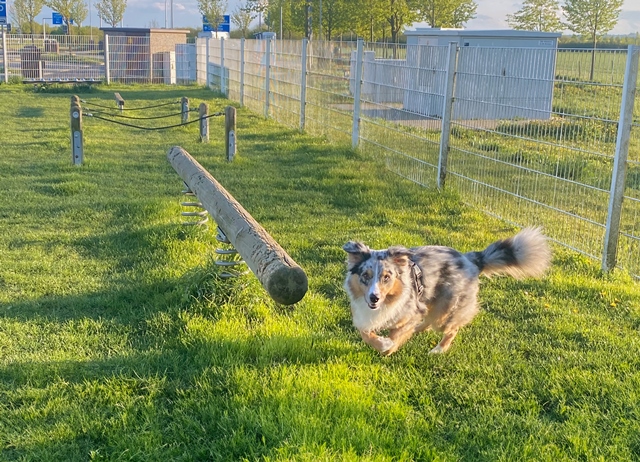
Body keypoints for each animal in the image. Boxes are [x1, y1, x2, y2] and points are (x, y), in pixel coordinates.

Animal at [344, 229, 552, 356]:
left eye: (387, 277)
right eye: (365, 275)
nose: (374, 297)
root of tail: (471, 259)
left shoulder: (412, 310)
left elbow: (394, 337)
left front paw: (387, 346)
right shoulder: (362, 315)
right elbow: (365, 333)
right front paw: (382, 343)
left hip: (446, 311)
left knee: (451, 329)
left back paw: (438, 350)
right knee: (427, 322)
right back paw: (418, 330)